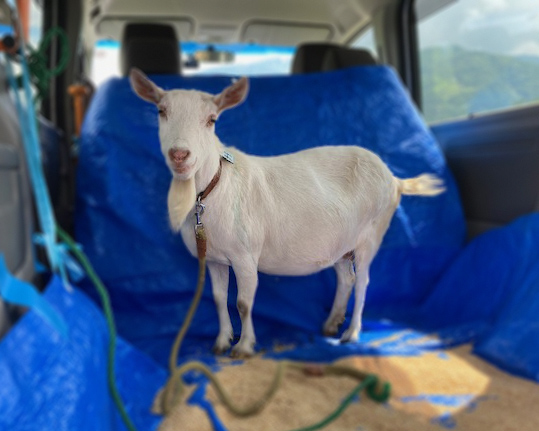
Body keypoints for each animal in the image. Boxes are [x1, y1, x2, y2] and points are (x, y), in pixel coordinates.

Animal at [131, 68, 448, 358]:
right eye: (161, 111)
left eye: (212, 120)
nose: (179, 155)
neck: (213, 189)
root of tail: (394, 179)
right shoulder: (214, 258)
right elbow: (220, 299)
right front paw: (222, 342)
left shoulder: (245, 255)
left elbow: (243, 303)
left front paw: (244, 347)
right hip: (340, 243)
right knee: (346, 278)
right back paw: (331, 324)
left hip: (372, 231)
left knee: (364, 282)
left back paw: (352, 332)